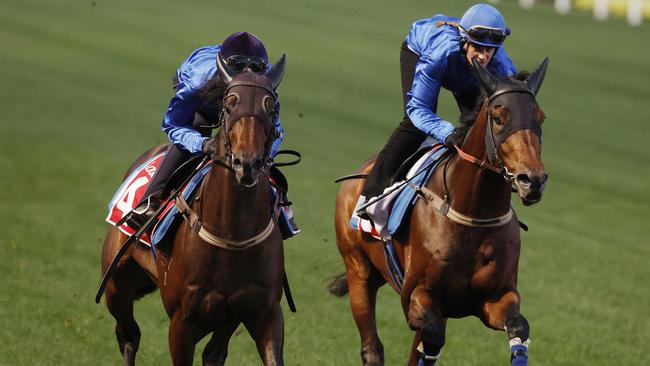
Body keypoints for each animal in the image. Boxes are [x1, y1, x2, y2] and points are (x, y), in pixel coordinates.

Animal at [99, 54, 286, 366]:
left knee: (213, 353)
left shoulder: (263, 313)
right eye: (229, 103)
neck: (232, 235)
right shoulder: (182, 322)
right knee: (128, 334)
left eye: (271, 108)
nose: (246, 162)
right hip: (117, 284)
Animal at [330, 58, 548, 364]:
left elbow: (519, 326)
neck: (474, 216)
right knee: (372, 347)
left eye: (540, 118)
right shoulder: (417, 298)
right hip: (358, 270)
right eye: (498, 118)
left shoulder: (495, 298)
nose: (533, 180)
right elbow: (432, 338)